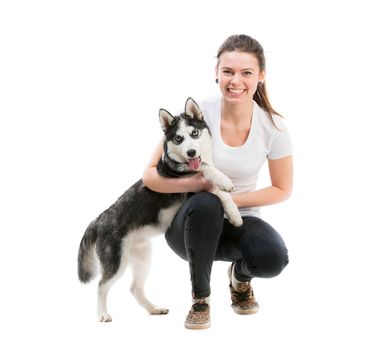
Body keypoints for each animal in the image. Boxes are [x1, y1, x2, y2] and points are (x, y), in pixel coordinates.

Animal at [78, 97, 243, 322]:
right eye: (178, 138)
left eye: (194, 133)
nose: (191, 152)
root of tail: (99, 219)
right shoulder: (189, 186)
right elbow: (210, 176)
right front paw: (226, 190)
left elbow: (209, 172)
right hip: (116, 260)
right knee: (102, 285)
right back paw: (103, 314)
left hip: (143, 256)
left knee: (135, 288)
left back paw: (153, 309)